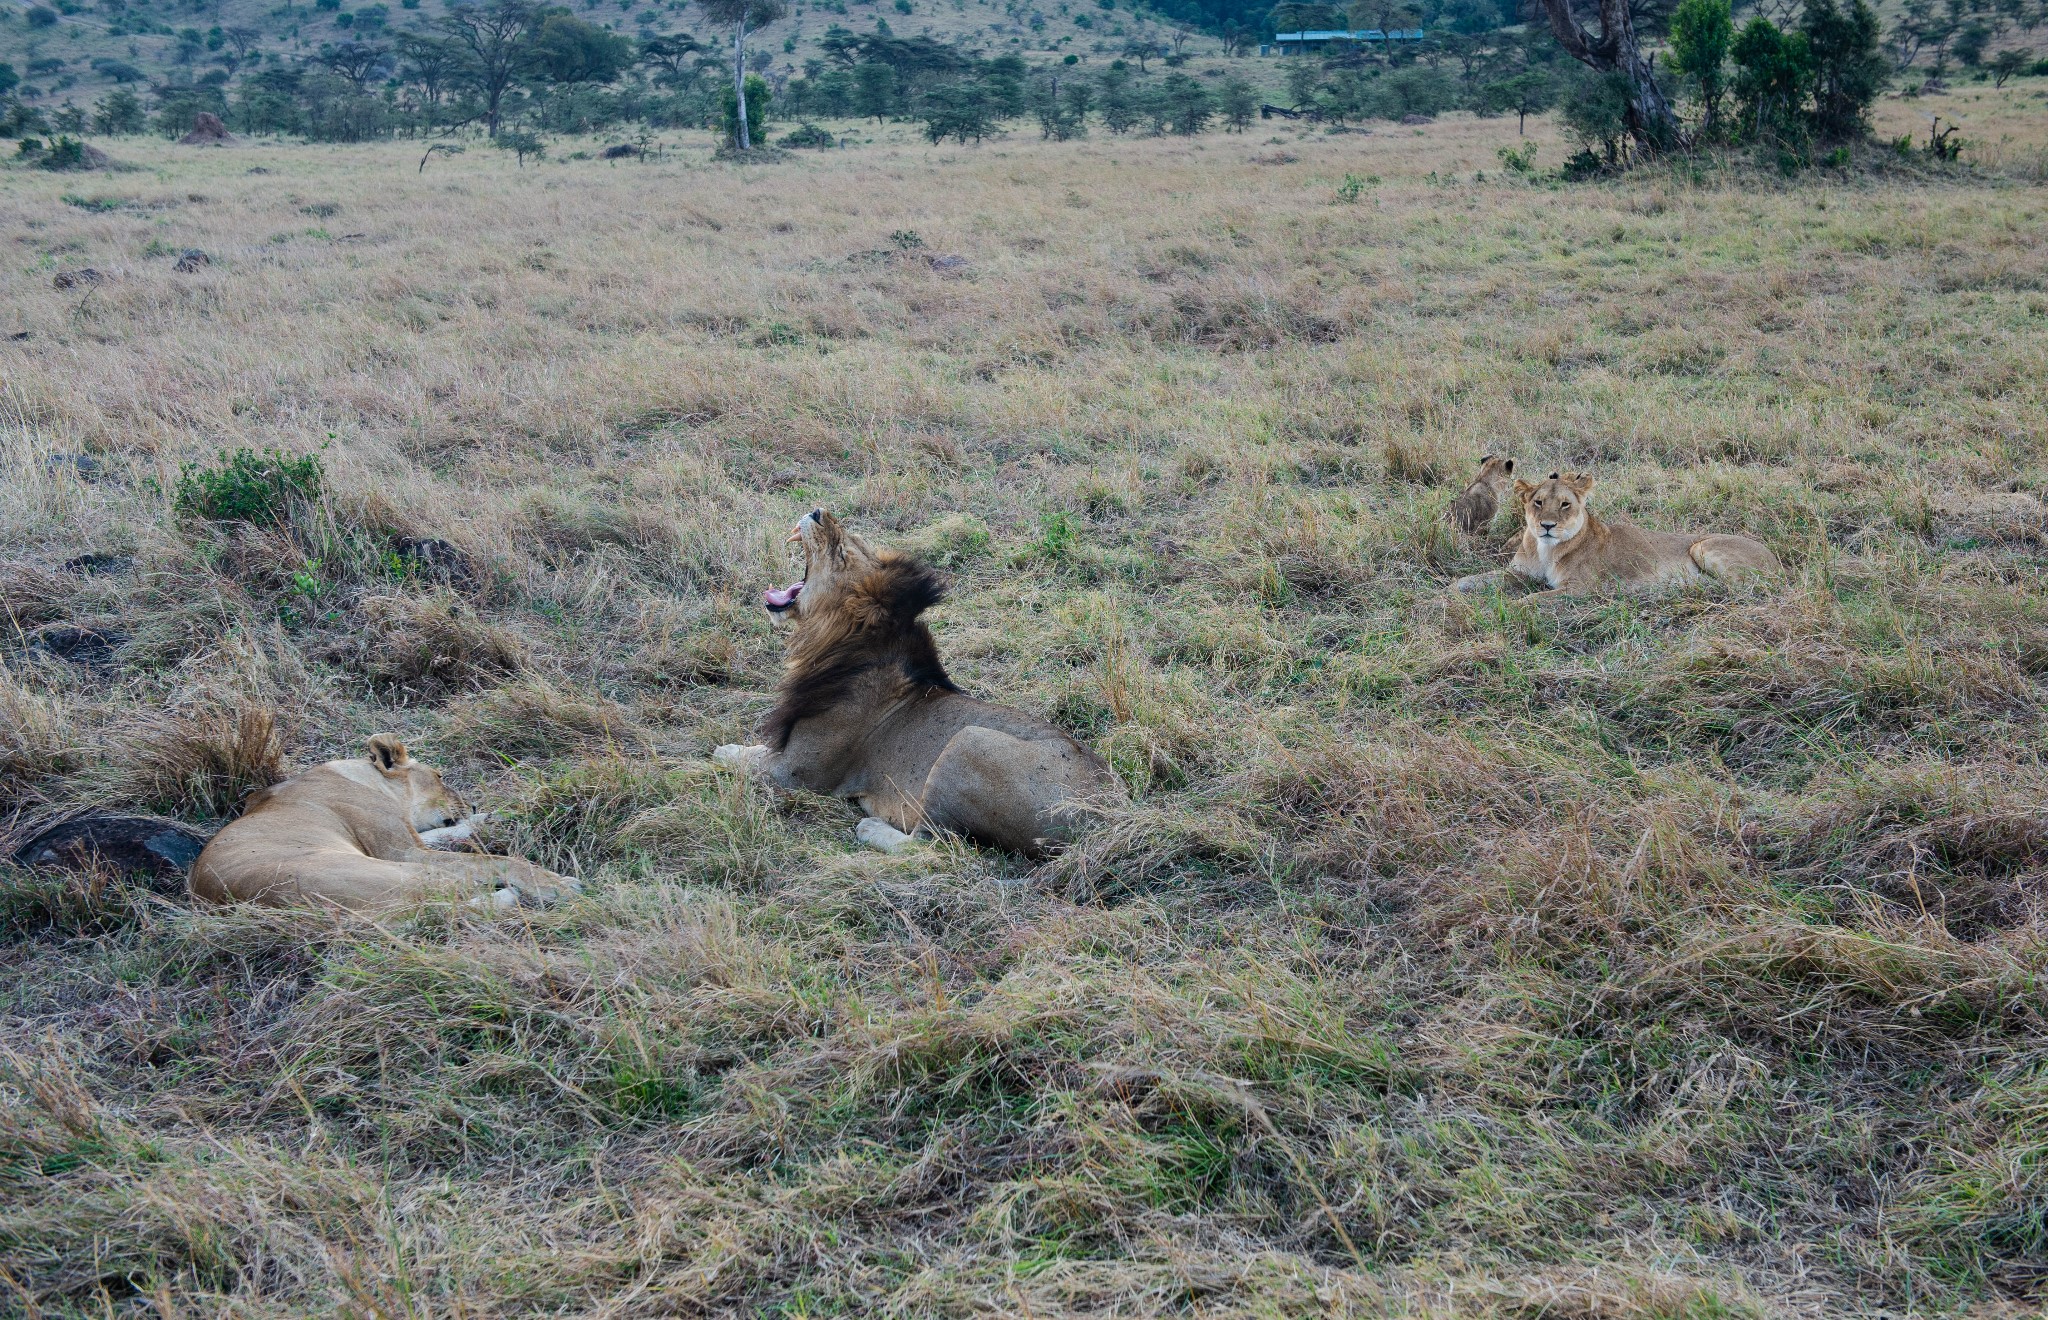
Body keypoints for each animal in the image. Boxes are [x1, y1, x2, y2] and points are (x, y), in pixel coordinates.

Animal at [191, 736, 581, 912]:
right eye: (440, 776)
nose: (471, 803)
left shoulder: (409, 837)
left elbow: (447, 830)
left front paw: (492, 817)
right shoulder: (402, 851)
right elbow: (495, 860)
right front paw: (555, 883)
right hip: (398, 872)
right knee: (459, 890)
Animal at [716, 505, 1138, 855]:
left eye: (842, 552)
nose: (818, 511)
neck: (837, 642)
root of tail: (1113, 815)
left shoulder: (798, 772)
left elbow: (746, 761)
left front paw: (718, 752)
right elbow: (751, 751)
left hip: (967, 743)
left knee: (936, 845)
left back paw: (870, 827)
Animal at [1458, 470, 1777, 593]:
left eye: (1564, 504)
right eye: (1538, 502)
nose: (1547, 526)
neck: (1545, 548)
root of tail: (1776, 559)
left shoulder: (1578, 589)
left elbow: (1531, 600)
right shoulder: (1519, 573)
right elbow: (1476, 579)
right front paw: (1451, 592)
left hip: (1702, 546)